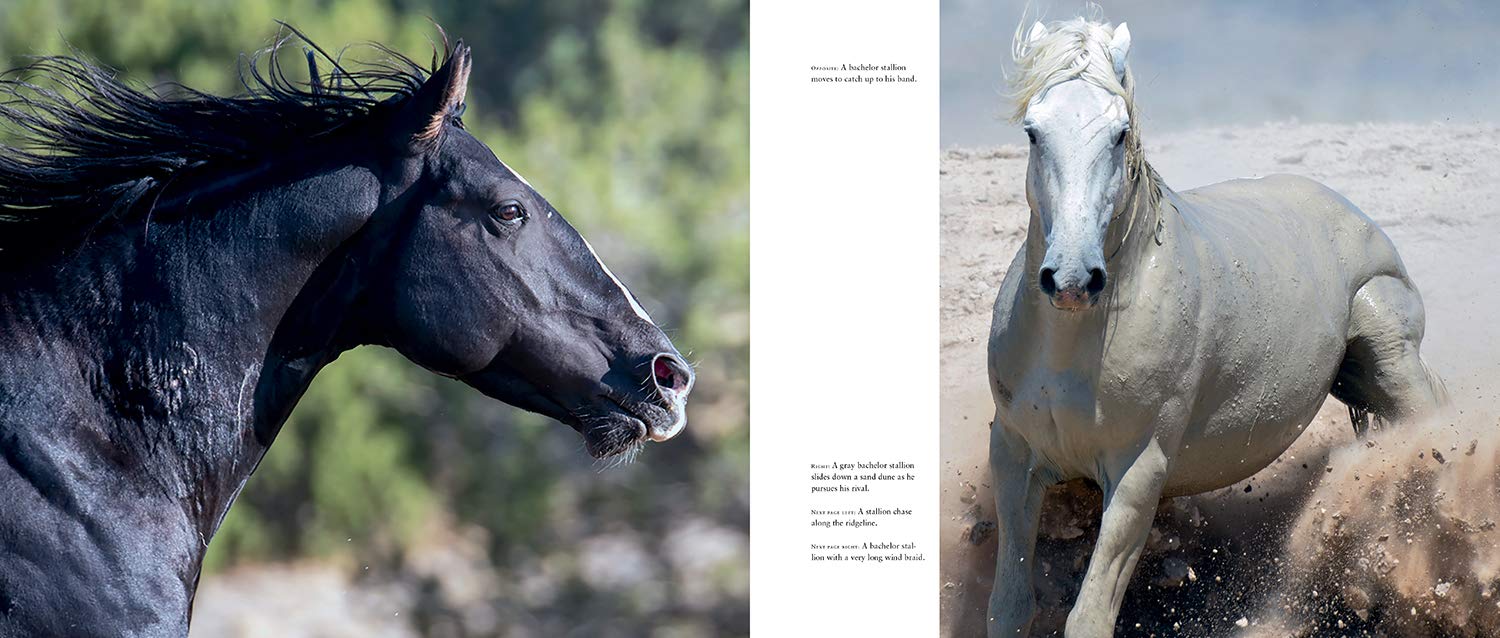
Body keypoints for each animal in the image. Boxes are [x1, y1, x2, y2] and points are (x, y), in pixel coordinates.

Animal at [984, 16, 1447, 637]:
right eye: (1034, 132)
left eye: (1119, 134)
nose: (1073, 277)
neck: (1071, 349)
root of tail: (1352, 214)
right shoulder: (1013, 457)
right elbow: (1009, 607)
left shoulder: (1137, 476)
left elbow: (1089, 615)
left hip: (1389, 353)